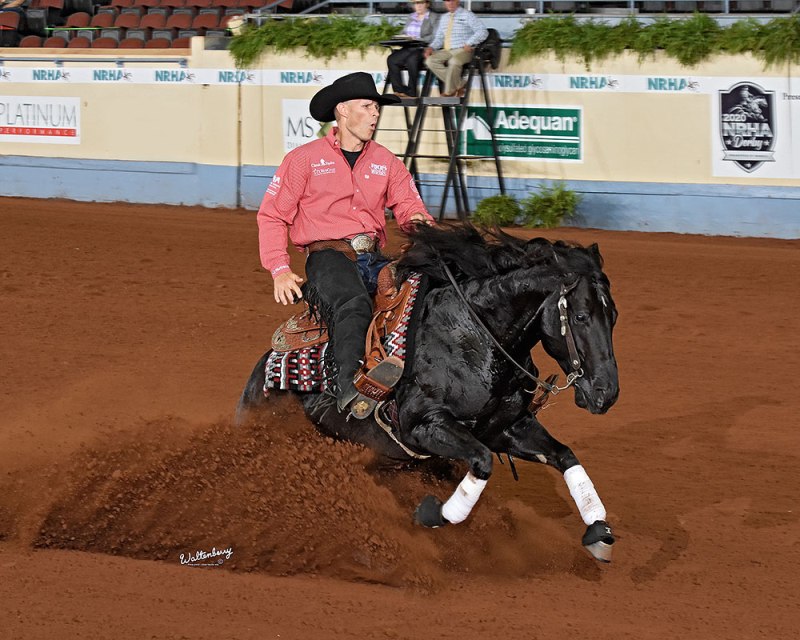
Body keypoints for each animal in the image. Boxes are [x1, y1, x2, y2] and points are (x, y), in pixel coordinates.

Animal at [236, 224, 620, 560]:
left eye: (613, 315)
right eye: (582, 316)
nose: (607, 393)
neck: (473, 335)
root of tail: (260, 371)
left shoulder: (507, 428)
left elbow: (565, 455)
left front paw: (598, 531)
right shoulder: (424, 426)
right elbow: (481, 463)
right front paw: (433, 513)